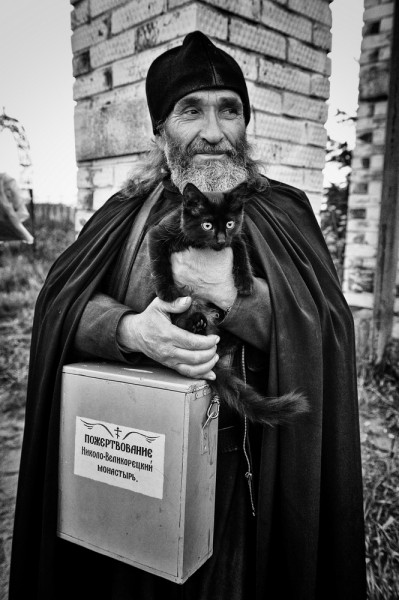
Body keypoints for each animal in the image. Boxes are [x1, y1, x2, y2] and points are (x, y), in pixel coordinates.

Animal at [148, 183, 308, 426]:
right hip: (189, 309)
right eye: (207, 225)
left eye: (230, 224)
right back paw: (195, 322)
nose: (222, 240)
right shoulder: (159, 234)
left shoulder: (237, 238)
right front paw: (166, 291)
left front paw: (246, 282)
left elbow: (242, 253)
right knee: (184, 321)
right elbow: (160, 262)